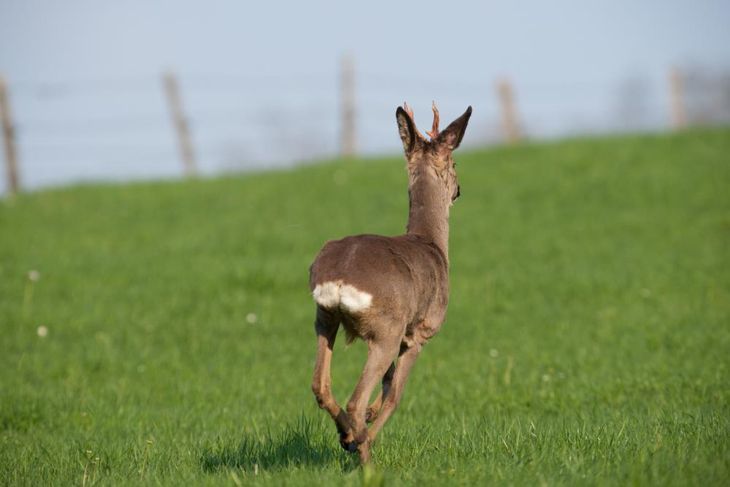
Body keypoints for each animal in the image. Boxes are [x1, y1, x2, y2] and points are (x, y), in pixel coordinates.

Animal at [308, 102, 472, 462]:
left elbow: (388, 383)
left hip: (325, 319)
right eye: (454, 163)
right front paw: (366, 431)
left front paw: (364, 424)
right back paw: (361, 449)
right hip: (387, 329)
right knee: (355, 400)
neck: (431, 243)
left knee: (320, 386)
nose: (458, 190)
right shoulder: (419, 333)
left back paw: (348, 434)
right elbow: (396, 394)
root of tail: (340, 278)